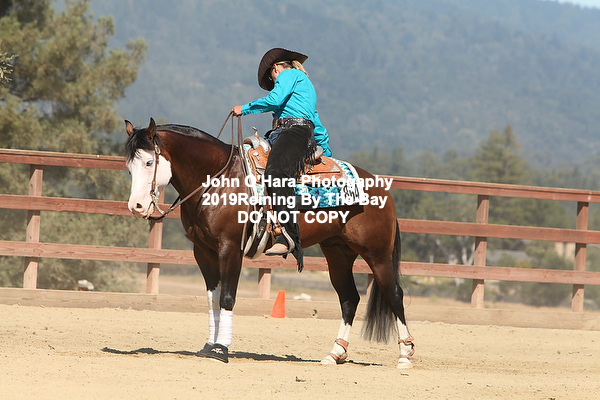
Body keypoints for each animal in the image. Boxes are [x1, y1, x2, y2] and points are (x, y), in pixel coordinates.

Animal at [124, 117, 415, 368]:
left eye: (149, 162)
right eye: (129, 166)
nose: (136, 206)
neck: (218, 179)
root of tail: (382, 189)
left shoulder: (230, 248)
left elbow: (228, 297)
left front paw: (221, 349)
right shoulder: (203, 251)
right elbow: (213, 299)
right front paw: (209, 346)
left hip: (377, 255)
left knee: (394, 294)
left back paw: (405, 355)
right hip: (338, 253)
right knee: (349, 299)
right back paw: (335, 354)